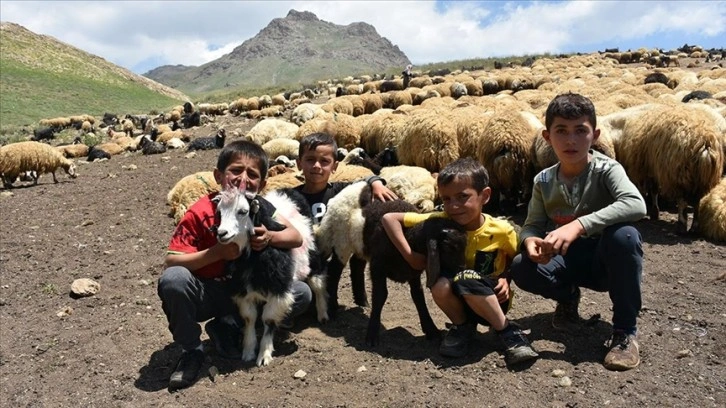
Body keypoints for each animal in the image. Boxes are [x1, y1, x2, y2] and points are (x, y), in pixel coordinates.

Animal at [362, 199, 470, 346]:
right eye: (448, 247)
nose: (461, 269)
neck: (408, 238)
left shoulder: (414, 273)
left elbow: (418, 296)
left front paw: (431, 329)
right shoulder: (377, 267)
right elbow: (380, 295)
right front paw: (372, 334)